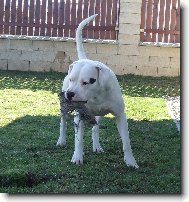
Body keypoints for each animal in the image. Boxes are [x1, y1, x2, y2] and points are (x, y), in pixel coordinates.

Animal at [56, 14, 139, 169]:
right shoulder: (80, 115)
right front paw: (77, 157)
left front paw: (131, 161)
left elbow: (126, 142)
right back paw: (61, 140)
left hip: (99, 114)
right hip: (65, 109)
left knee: (95, 128)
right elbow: (78, 139)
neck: (96, 96)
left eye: (86, 82)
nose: (69, 94)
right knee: (63, 123)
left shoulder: (120, 116)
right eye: (71, 79)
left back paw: (97, 146)